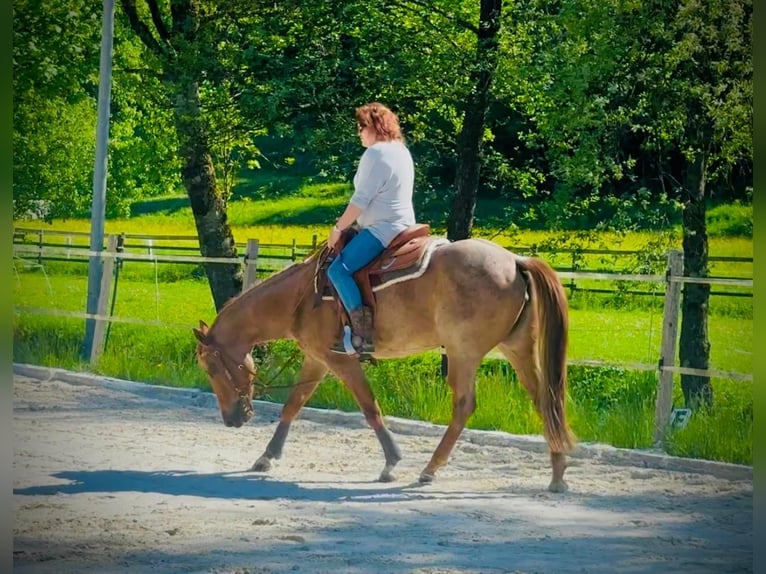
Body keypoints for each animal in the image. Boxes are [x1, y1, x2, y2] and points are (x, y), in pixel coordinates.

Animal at [193, 236, 576, 492]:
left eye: (211, 369)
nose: (232, 419)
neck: (300, 298)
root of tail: (515, 261)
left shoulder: (340, 360)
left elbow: (369, 407)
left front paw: (392, 462)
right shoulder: (317, 359)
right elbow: (293, 405)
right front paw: (267, 456)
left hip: (463, 353)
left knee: (464, 405)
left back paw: (430, 469)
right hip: (517, 349)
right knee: (545, 400)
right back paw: (557, 475)